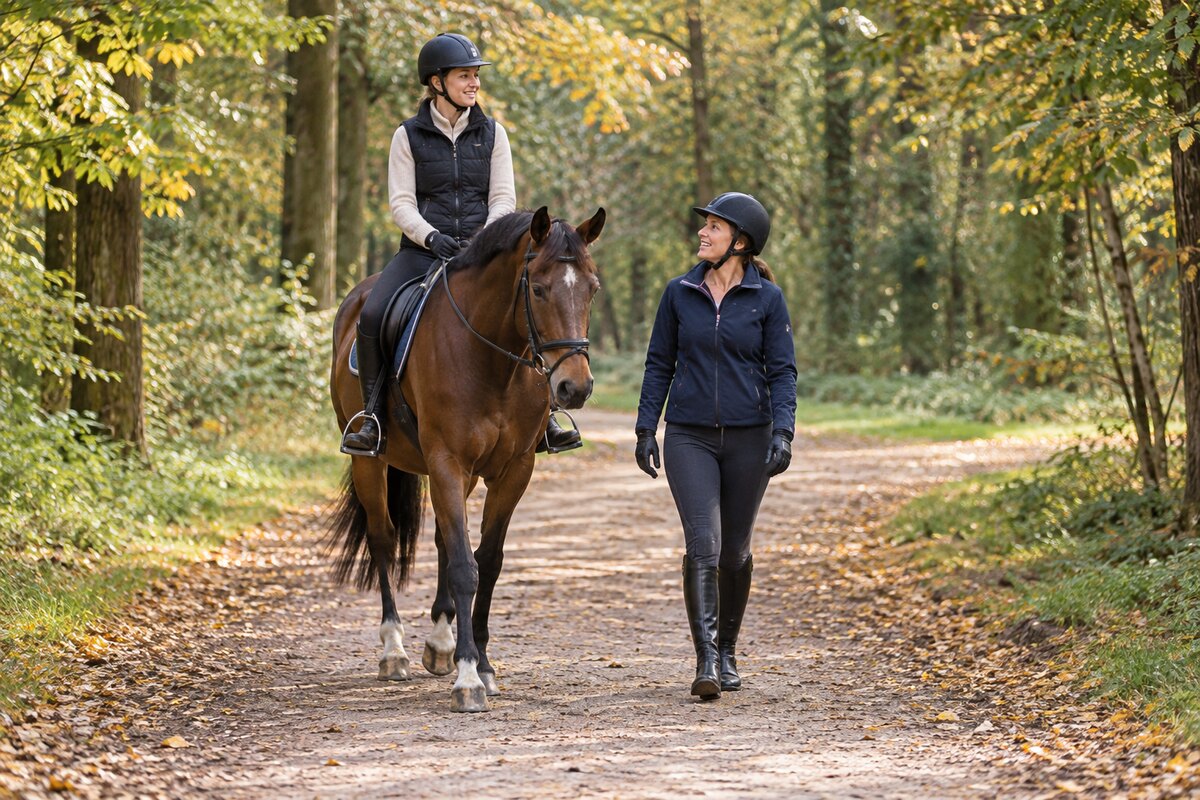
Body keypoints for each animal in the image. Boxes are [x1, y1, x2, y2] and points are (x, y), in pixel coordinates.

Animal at [327, 206, 605, 712]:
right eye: (538, 288)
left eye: (591, 288)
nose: (574, 388)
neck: (495, 361)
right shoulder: (447, 462)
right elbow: (463, 565)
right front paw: (469, 677)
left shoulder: (514, 470)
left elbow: (487, 561)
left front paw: (483, 664)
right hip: (370, 462)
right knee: (382, 539)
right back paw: (393, 650)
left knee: (440, 539)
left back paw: (439, 644)